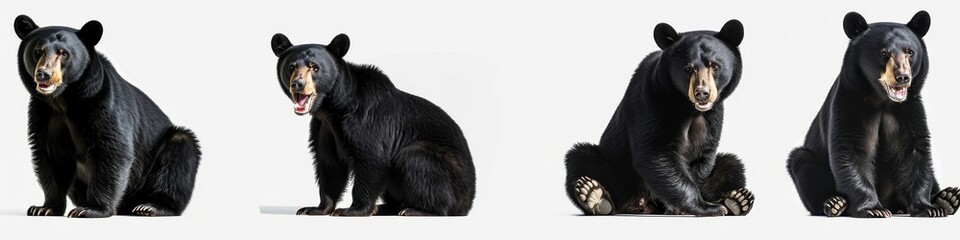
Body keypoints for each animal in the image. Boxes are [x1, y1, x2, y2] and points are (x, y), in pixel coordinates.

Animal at [13, 15, 201, 218]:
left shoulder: (103, 103)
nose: (44, 74)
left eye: (64, 53)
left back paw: (150, 206)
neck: (64, 100)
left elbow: (112, 150)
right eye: (38, 51)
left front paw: (90, 209)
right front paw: (45, 208)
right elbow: (51, 156)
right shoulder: (44, 114)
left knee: (179, 152)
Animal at [270, 32, 476, 217]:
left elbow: (372, 157)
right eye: (291, 67)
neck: (334, 108)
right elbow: (329, 164)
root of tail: (469, 201)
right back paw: (386, 208)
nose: (298, 84)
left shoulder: (368, 120)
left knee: (414, 160)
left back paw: (416, 209)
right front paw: (315, 208)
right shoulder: (323, 128)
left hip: (448, 173)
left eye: (314, 68)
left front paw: (352, 210)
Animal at [564, 19, 756, 217]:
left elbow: (701, 155)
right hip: (618, 170)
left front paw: (683, 208)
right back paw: (594, 196)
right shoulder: (651, 98)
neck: (687, 106)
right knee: (581, 158)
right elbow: (656, 151)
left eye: (715, 66)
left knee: (731, 165)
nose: (702, 93)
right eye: (688, 69)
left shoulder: (712, 115)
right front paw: (708, 208)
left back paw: (737, 200)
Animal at [788, 10, 960, 218]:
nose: (903, 77)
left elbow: (914, 150)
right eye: (884, 53)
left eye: (909, 51)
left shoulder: (909, 110)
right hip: (809, 161)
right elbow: (851, 149)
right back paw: (834, 203)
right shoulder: (849, 102)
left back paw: (948, 198)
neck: (883, 101)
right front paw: (873, 209)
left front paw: (928, 207)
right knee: (802, 162)